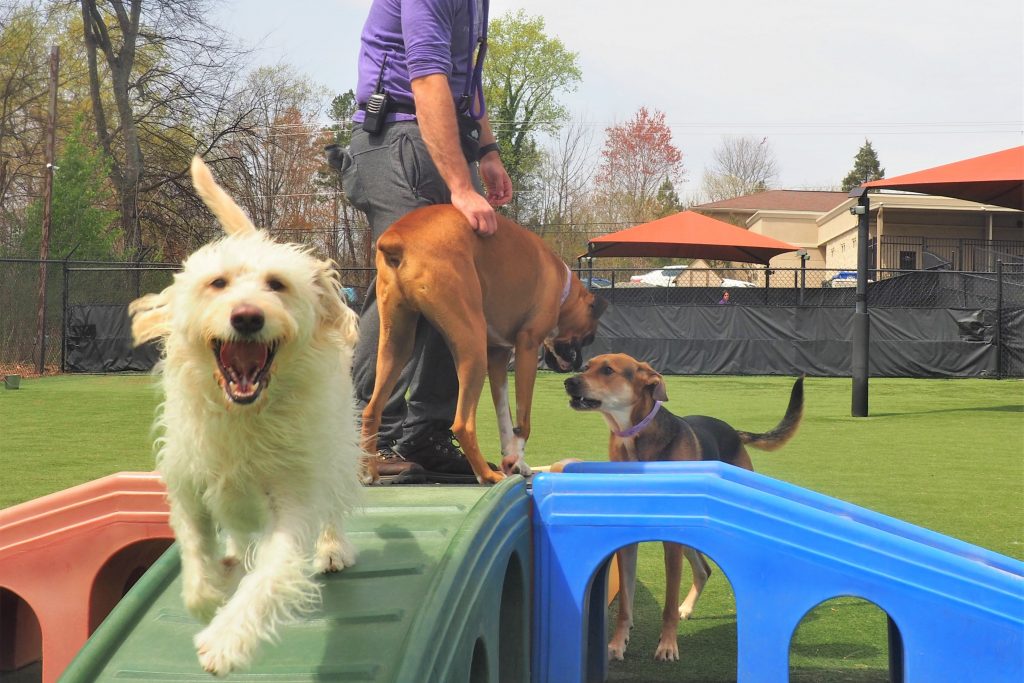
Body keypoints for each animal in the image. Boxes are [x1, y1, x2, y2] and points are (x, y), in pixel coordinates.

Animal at [131, 157, 364, 675]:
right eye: (217, 283)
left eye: (277, 284)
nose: (247, 316)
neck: (243, 415)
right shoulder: (188, 483)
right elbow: (196, 551)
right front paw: (211, 590)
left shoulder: (293, 503)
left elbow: (268, 578)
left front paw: (226, 639)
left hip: (337, 449)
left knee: (334, 505)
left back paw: (332, 548)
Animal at [360, 202, 602, 485]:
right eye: (588, 336)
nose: (578, 362)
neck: (561, 284)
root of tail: (398, 237)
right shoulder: (527, 350)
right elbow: (523, 421)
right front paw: (515, 460)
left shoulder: (498, 357)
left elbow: (505, 419)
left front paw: (515, 462)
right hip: (472, 346)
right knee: (463, 424)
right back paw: (486, 474)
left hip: (396, 346)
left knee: (371, 410)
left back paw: (369, 472)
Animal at [565, 352, 802, 663]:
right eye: (586, 366)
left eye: (607, 370)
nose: (568, 382)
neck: (634, 440)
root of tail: (733, 432)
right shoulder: (629, 542)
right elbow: (626, 604)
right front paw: (617, 643)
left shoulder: (671, 542)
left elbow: (667, 604)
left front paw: (667, 646)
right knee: (703, 570)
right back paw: (687, 608)